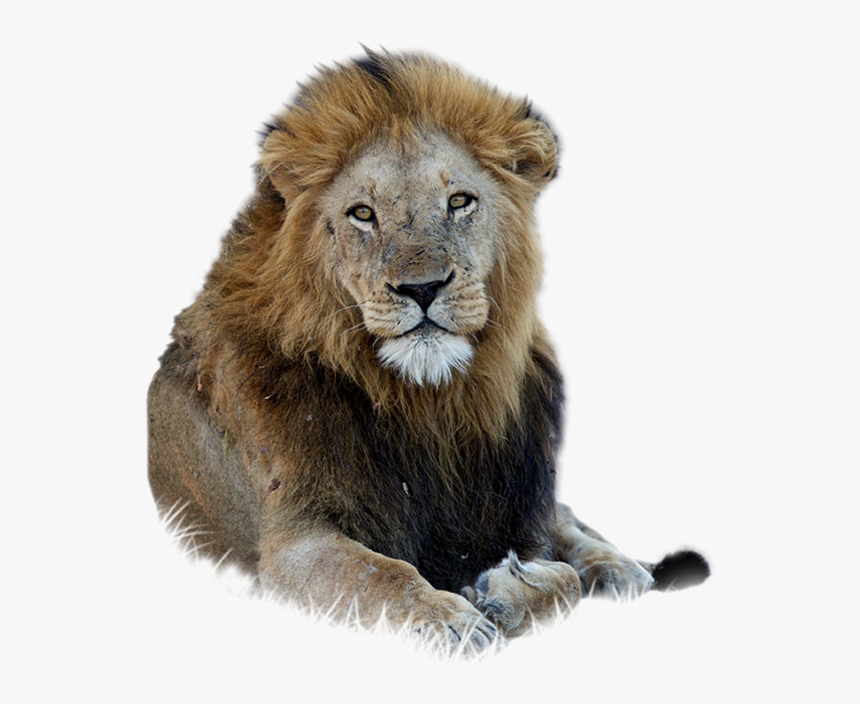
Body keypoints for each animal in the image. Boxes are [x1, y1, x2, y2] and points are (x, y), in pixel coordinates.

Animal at [148, 50, 709, 652]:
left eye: (459, 201)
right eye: (362, 213)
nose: (422, 288)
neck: (428, 402)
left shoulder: (512, 511)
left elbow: (563, 575)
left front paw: (507, 590)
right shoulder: (290, 543)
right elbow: (380, 573)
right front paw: (450, 619)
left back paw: (619, 569)